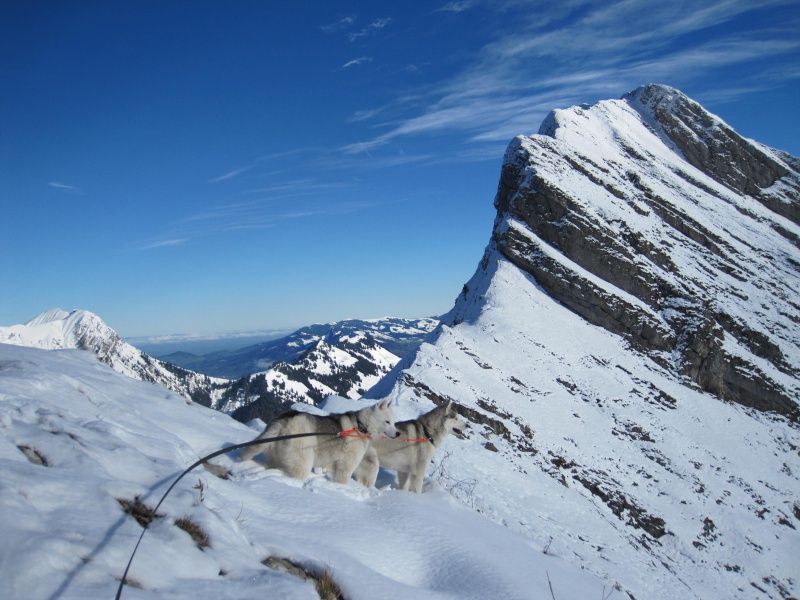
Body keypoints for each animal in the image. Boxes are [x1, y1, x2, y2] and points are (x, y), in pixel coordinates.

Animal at [239, 400, 398, 486]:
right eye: (387, 422)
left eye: (393, 422)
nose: (398, 434)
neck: (361, 426)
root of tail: (284, 421)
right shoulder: (345, 468)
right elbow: (342, 481)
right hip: (302, 463)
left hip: (277, 458)